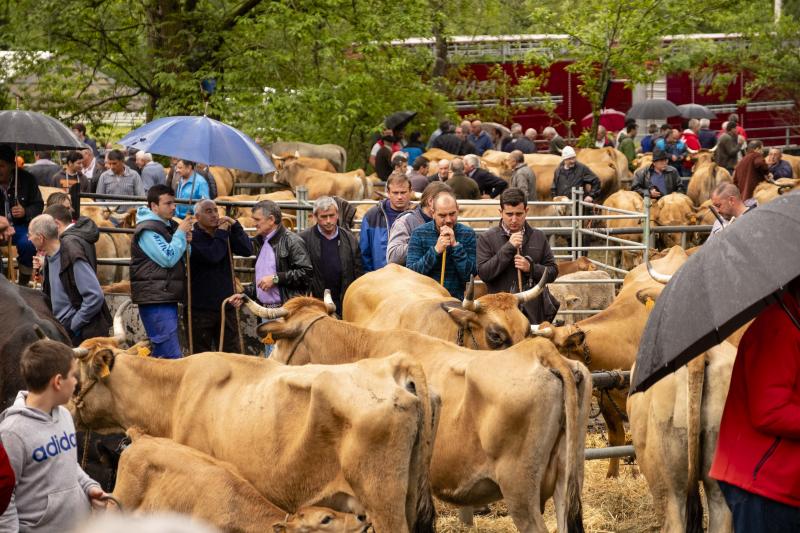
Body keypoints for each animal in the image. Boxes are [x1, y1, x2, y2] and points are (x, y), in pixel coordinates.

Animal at [244, 294, 592, 532]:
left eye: (278, 339)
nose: (270, 362)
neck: (363, 348)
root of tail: (544, 354)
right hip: (566, 480)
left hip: (520, 490)